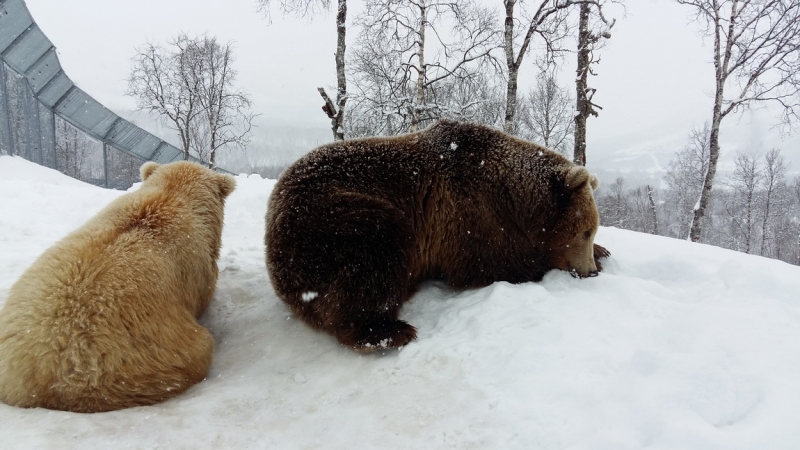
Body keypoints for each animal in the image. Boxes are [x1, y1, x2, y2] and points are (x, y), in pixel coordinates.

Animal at [262, 119, 608, 352]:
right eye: (584, 231)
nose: (589, 271)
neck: (514, 200)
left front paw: (603, 252)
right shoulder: (470, 217)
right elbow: (494, 264)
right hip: (327, 218)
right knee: (374, 249)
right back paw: (388, 331)